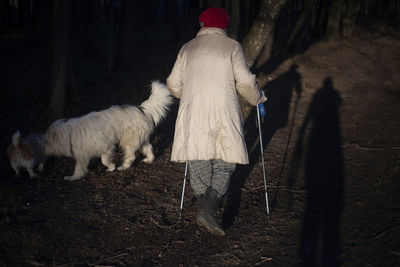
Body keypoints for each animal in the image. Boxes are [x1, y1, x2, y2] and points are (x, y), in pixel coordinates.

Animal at [43, 81, 172, 182]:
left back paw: (123, 167)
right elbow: (79, 168)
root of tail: (141, 109)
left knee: (131, 156)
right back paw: (149, 159)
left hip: (128, 140)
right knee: (148, 147)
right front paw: (74, 177)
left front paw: (111, 167)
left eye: (48, 141)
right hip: (138, 138)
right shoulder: (82, 155)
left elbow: (104, 160)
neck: (70, 134)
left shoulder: (106, 146)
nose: (43, 150)